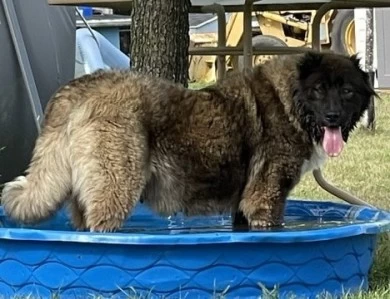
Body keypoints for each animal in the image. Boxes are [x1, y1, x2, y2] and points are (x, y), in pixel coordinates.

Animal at [0, 51, 378, 232]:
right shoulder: (265, 201)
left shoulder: (244, 206)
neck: (291, 101)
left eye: (347, 91)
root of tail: (82, 87)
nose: (333, 117)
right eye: (319, 90)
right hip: (116, 189)